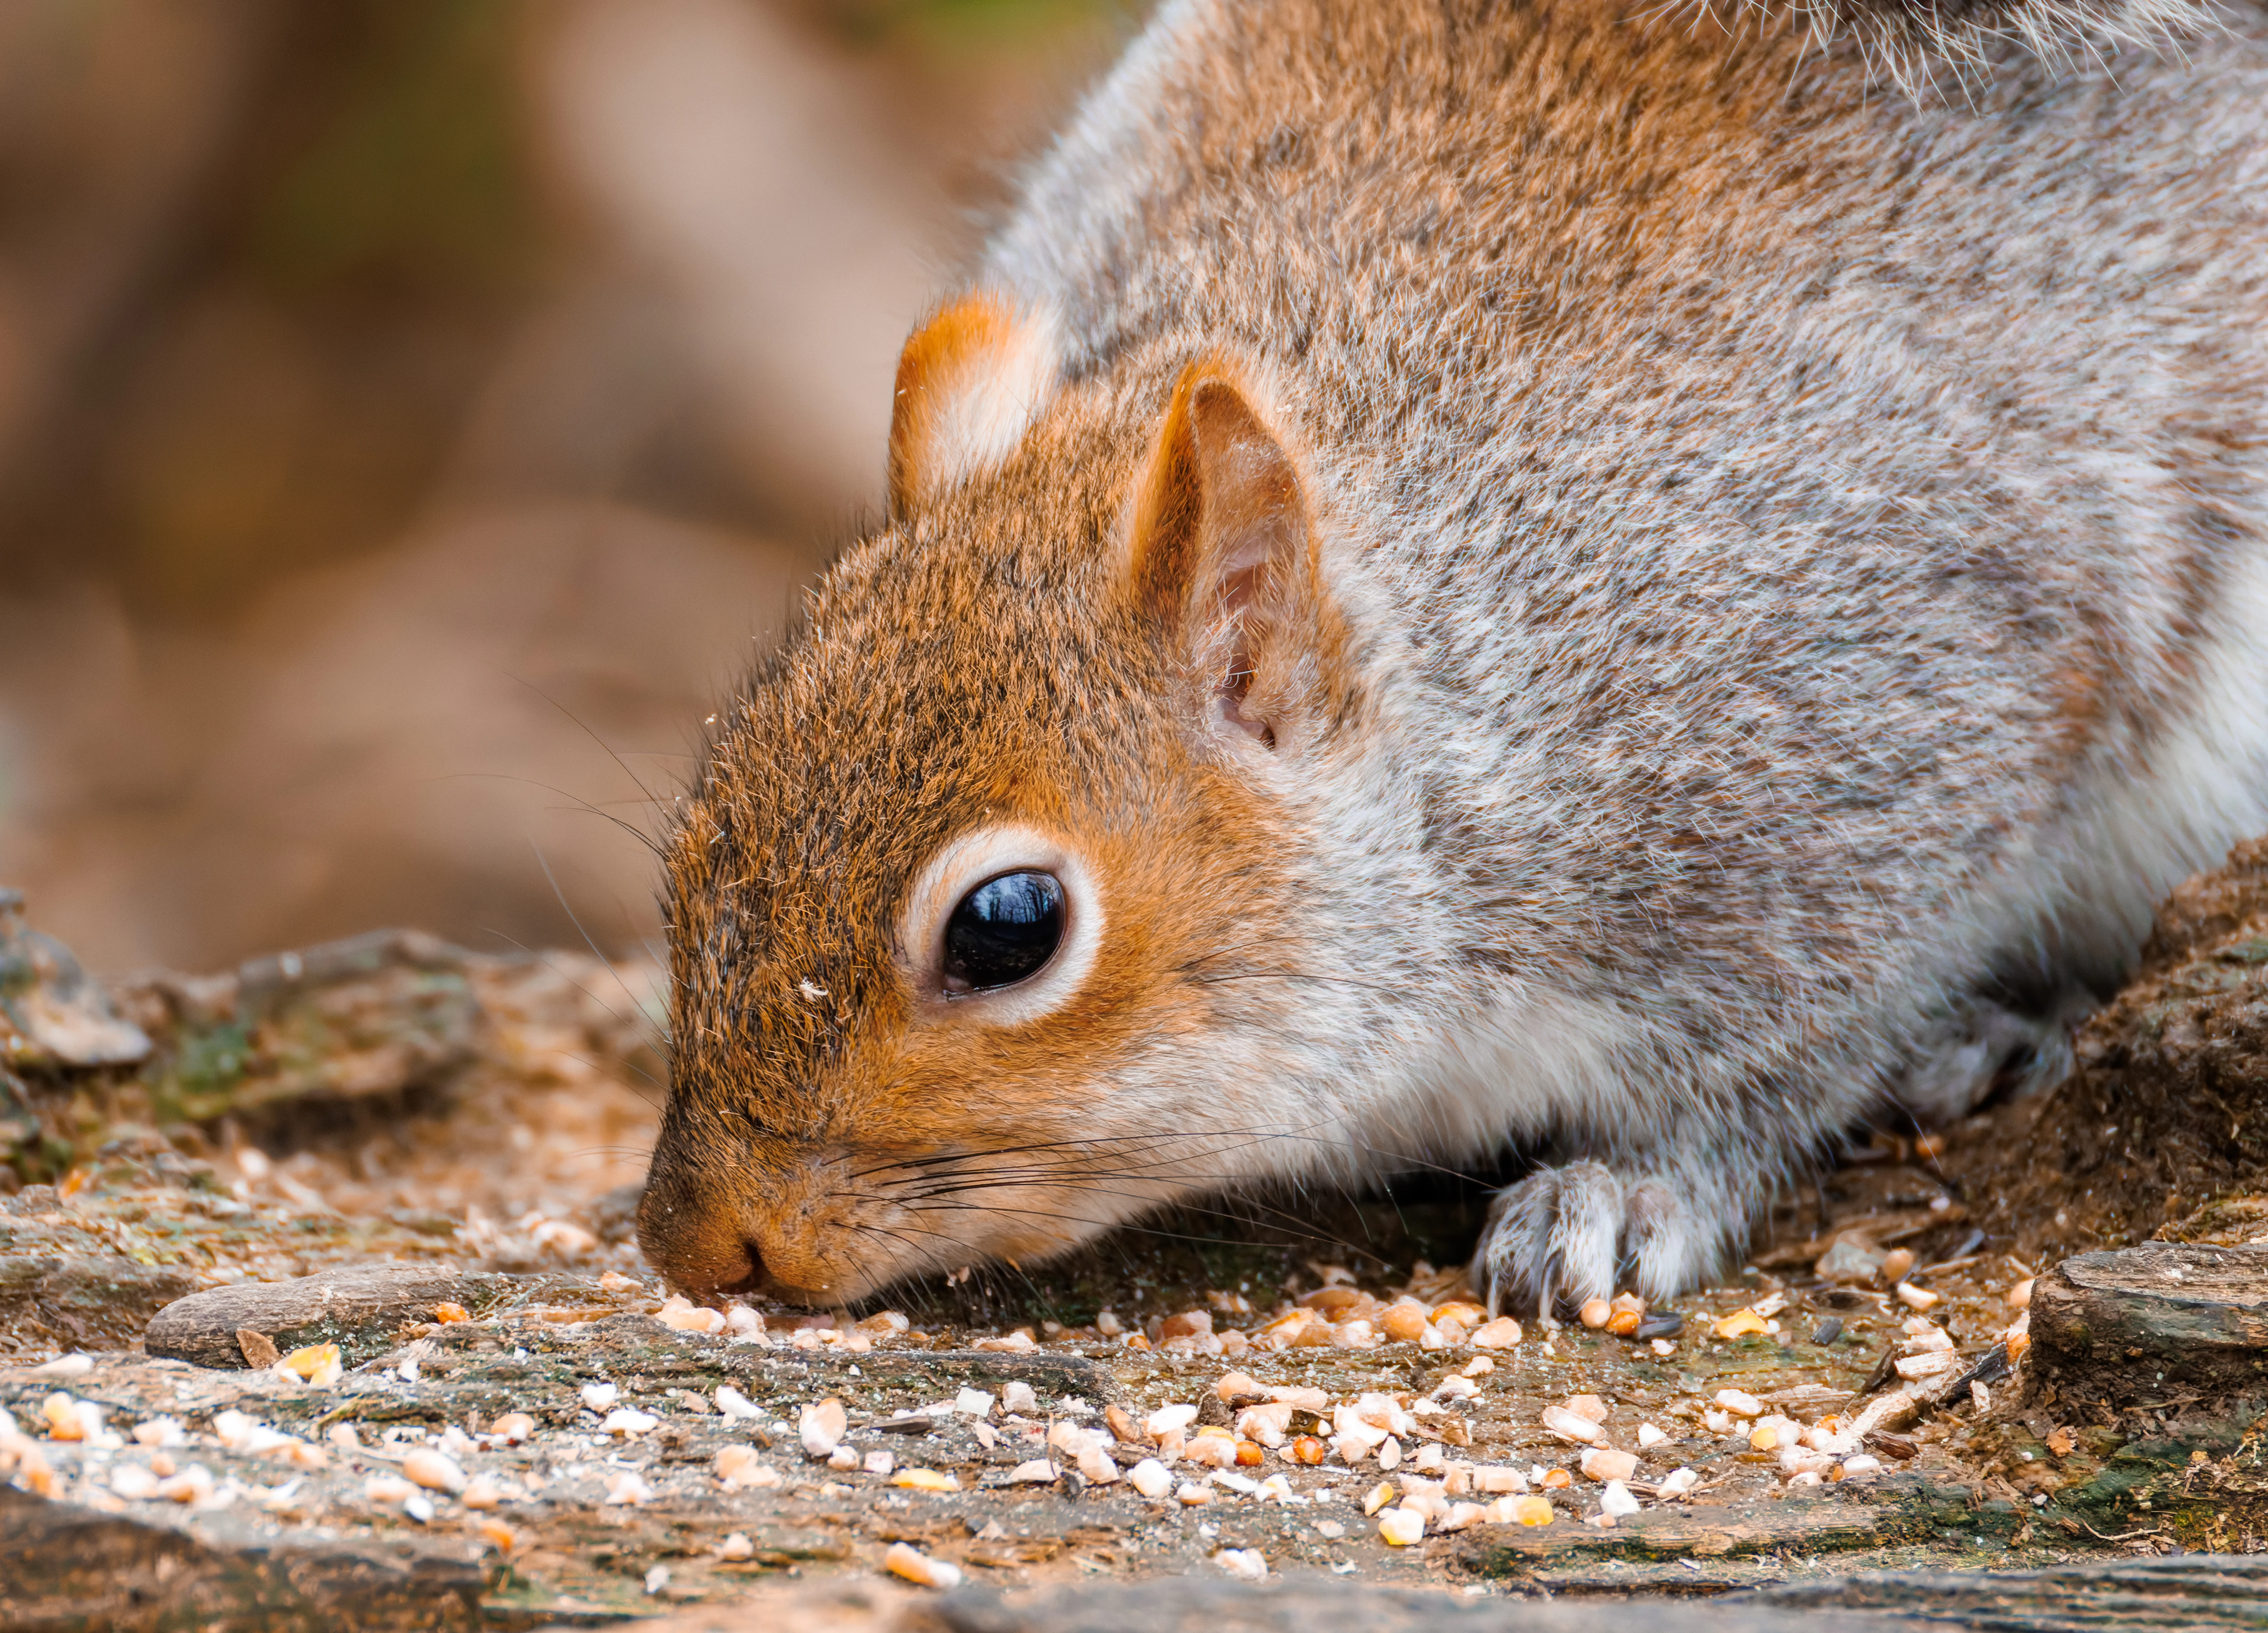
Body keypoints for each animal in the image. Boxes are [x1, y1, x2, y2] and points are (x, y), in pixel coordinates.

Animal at [636, 0, 2268, 1314]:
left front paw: (1626, 1198)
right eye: (703, 820)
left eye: (1007, 928)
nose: (699, 1242)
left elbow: (1775, 1068)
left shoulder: (1867, 777)